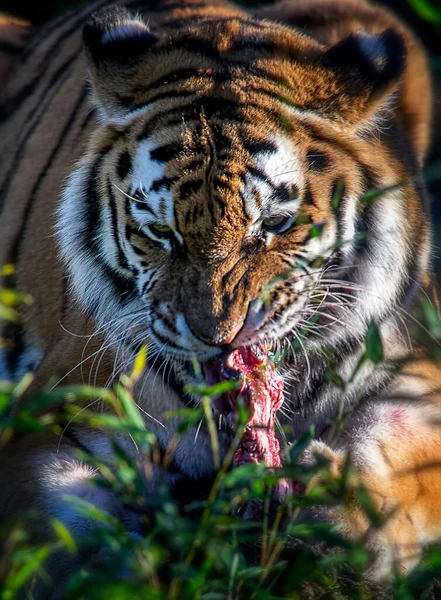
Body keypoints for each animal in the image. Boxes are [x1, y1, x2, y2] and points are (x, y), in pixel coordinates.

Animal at [0, 0, 438, 584]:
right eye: (161, 233)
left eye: (273, 225)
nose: (218, 337)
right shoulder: (56, 419)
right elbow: (61, 533)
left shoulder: (413, 368)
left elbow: (405, 470)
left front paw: (338, 506)